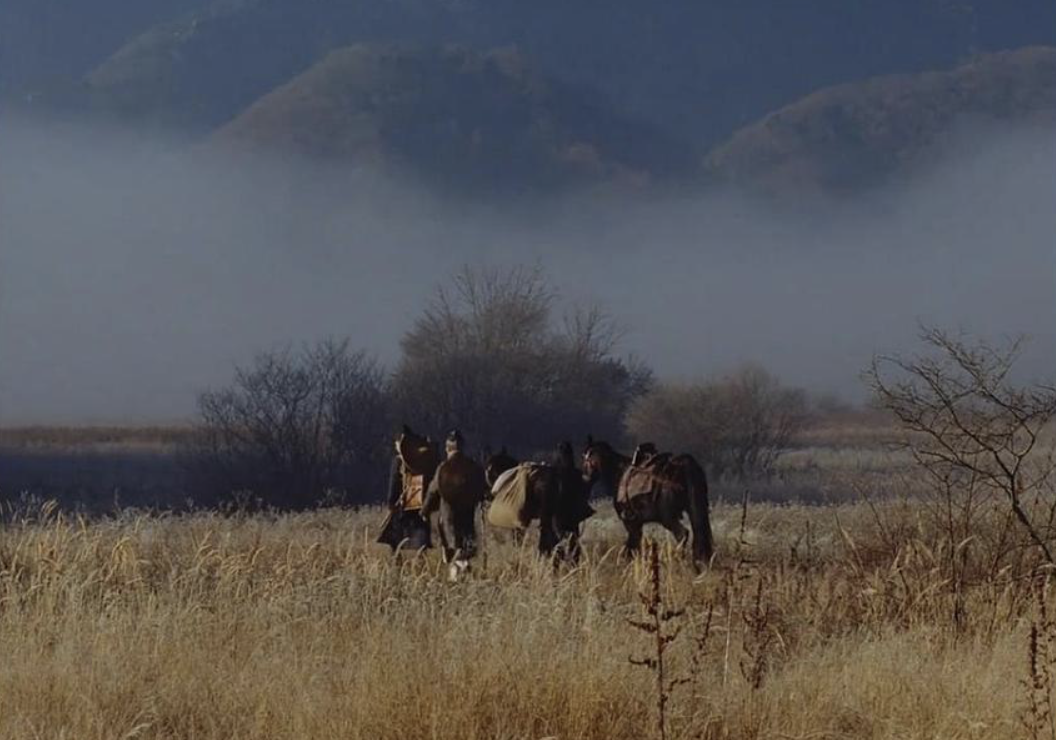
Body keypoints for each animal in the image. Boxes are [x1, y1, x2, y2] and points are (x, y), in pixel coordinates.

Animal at [582, 434, 713, 570]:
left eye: (586, 457)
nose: (585, 478)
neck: (618, 473)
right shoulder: (637, 523)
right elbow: (633, 548)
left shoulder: (630, 523)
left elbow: (630, 549)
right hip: (693, 511)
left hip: (668, 518)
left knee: (682, 534)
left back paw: (679, 564)